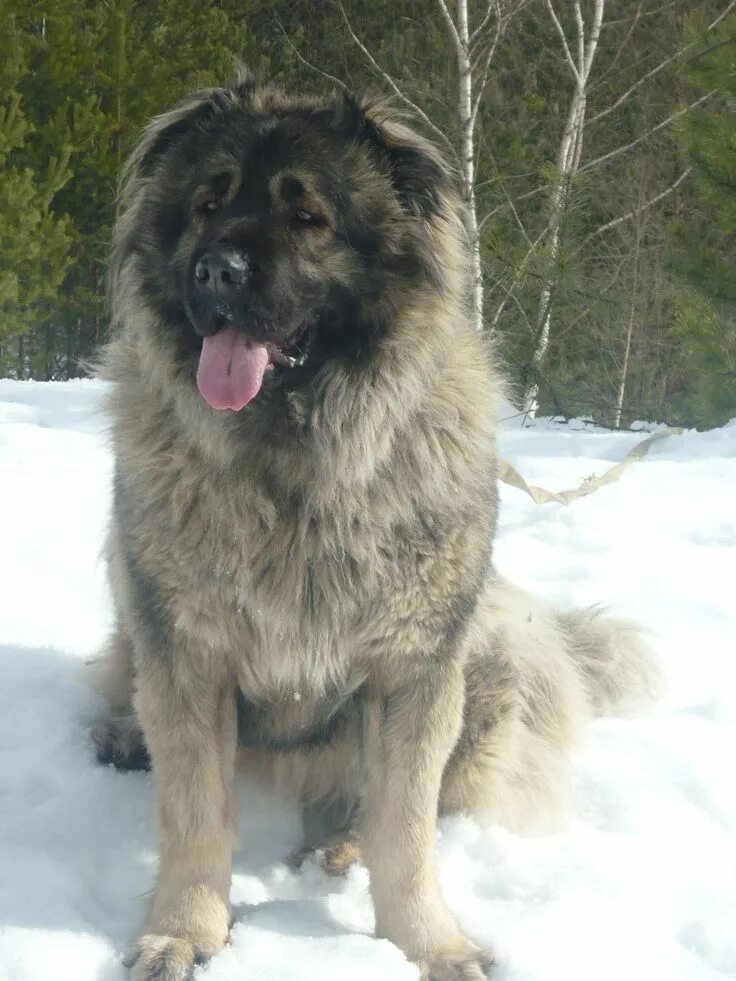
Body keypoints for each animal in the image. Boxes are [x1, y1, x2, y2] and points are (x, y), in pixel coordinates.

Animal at [90, 71, 660, 980]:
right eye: (208, 205)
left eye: (309, 217)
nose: (215, 269)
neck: (296, 466)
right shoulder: (187, 652)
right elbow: (194, 811)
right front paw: (183, 930)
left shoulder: (412, 668)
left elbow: (407, 823)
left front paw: (430, 943)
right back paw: (122, 734)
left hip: (491, 659)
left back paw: (336, 847)